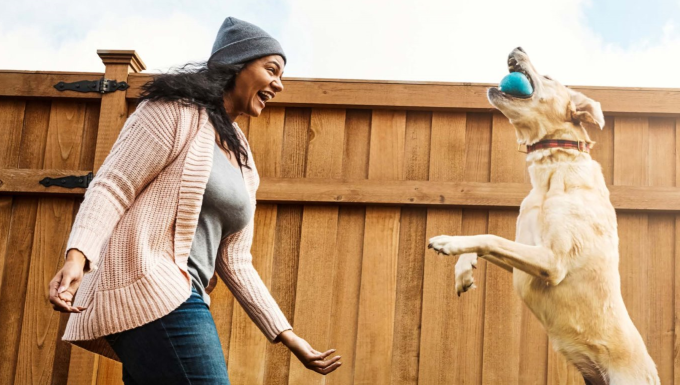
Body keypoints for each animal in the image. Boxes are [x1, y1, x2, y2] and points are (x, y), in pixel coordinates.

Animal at [430, 48, 660, 384]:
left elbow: (490, 236)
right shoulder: (528, 250)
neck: (554, 166)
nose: (517, 48)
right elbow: (488, 241)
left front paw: (449, 242)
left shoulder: (553, 261)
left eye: (549, 77)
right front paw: (464, 268)